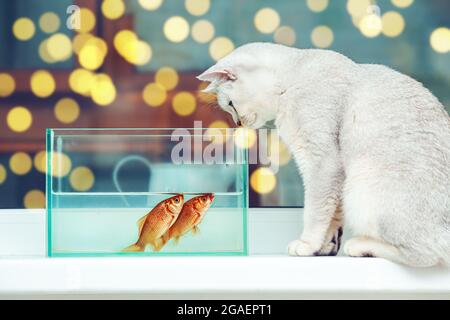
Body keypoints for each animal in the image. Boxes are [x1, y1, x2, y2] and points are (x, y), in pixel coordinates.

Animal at [200, 42, 450, 268]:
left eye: (230, 104)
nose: (238, 124)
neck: (292, 76)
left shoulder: (321, 162)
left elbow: (315, 210)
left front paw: (307, 244)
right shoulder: (335, 174)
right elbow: (332, 215)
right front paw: (324, 247)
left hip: (361, 187)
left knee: (425, 254)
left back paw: (360, 246)